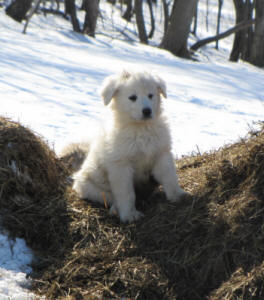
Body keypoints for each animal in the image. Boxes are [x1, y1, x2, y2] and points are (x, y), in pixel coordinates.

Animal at [62, 70, 187, 223]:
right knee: (110, 197)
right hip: (92, 186)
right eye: (132, 97)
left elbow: (170, 177)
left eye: (150, 95)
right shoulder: (120, 166)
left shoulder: (161, 153)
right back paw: (116, 209)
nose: (147, 111)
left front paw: (178, 195)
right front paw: (129, 215)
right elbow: (126, 193)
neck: (140, 128)